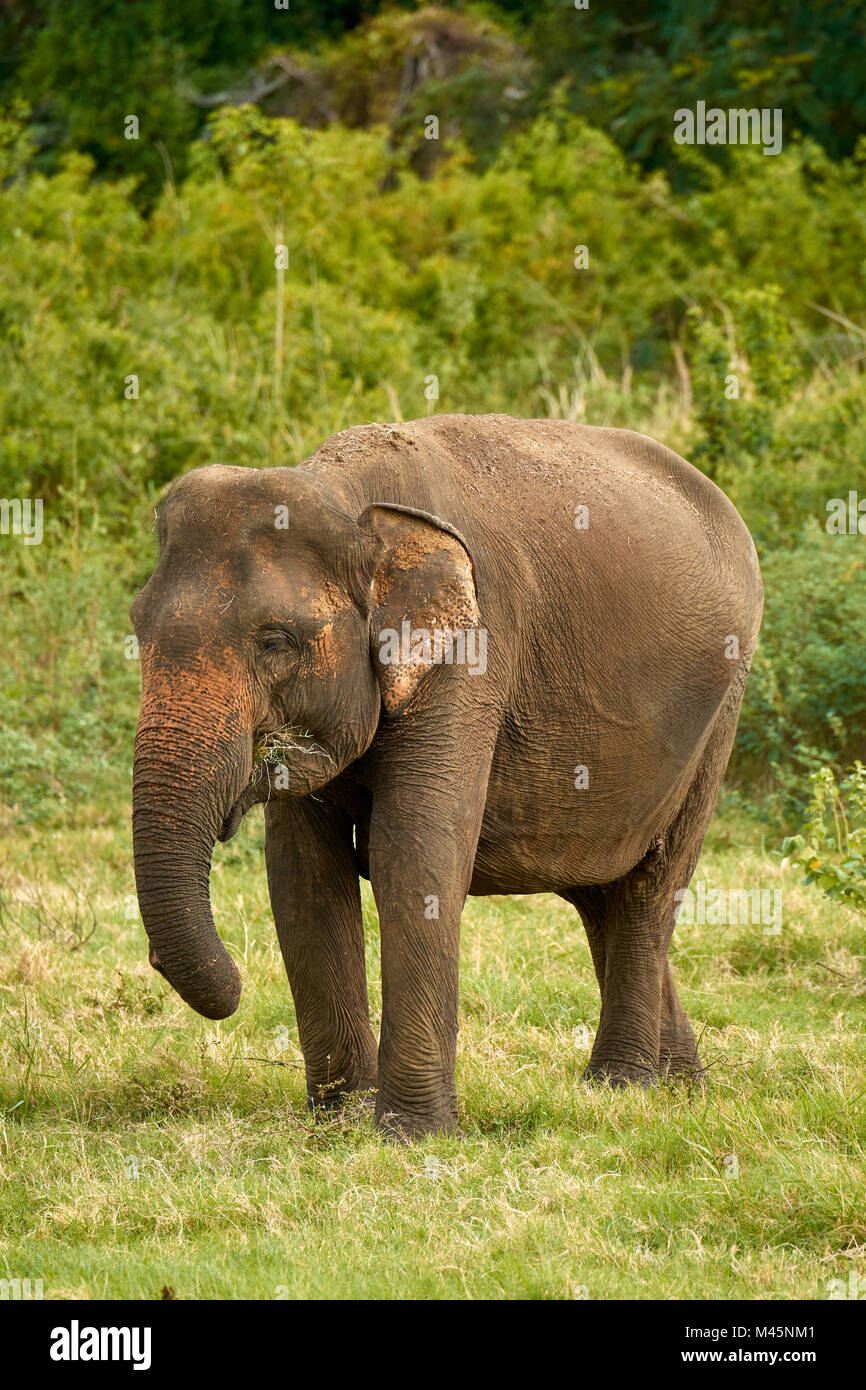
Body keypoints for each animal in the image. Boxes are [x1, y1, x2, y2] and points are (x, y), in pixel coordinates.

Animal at [132, 411, 761, 1139]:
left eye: (275, 642)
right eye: (136, 628)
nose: (233, 983)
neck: (350, 497)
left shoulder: (475, 649)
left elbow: (413, 852)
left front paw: (411, 1136)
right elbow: (302, 874)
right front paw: (342, 1122)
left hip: (721, 708)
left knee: (649, 887)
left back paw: (620, 1087)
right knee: (599, 892)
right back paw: (681, 1086)